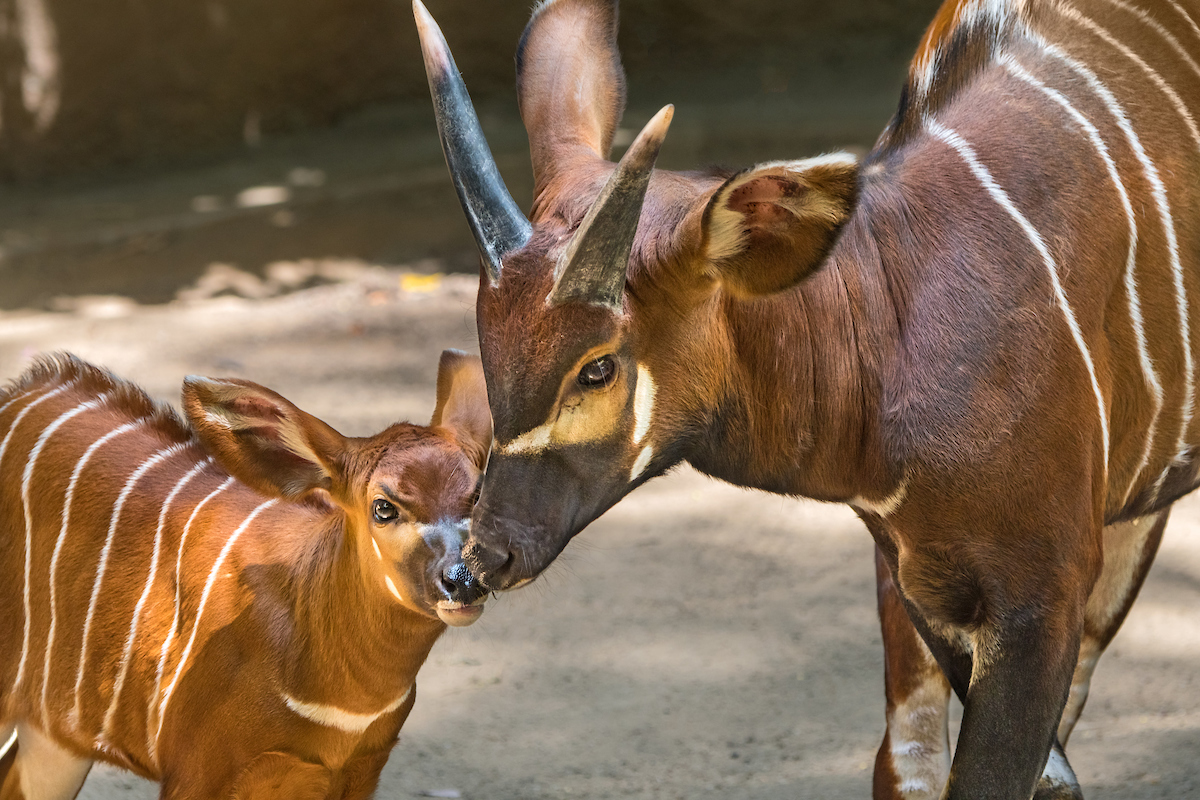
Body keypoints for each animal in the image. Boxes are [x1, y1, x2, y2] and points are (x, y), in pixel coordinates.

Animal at [0, 352, 492, 796]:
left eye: (478, 495)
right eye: (384, 507)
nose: (465, 579)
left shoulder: (361, 769)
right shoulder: (197, 771)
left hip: (55, 736)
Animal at [420, 0, 1200, 796]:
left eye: (597, 367)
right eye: (487, 344)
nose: (481, 558)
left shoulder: (1039, 595)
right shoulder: (919, 573)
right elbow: (931, 761)